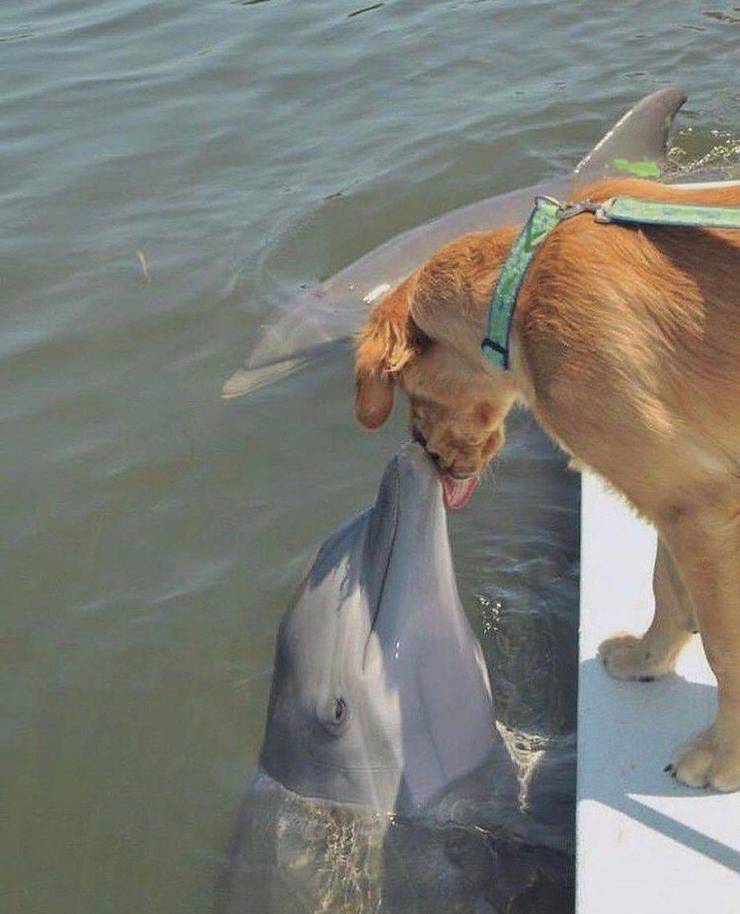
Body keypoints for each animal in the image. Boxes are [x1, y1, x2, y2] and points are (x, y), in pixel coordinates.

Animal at [352, 178, 740, 792]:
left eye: (413, 393)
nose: (427, 454)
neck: (522, 288)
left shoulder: (700, 503)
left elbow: (726, 647)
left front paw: (723, 755)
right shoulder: (679, 493)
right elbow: (667, 586)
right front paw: (648, 659)